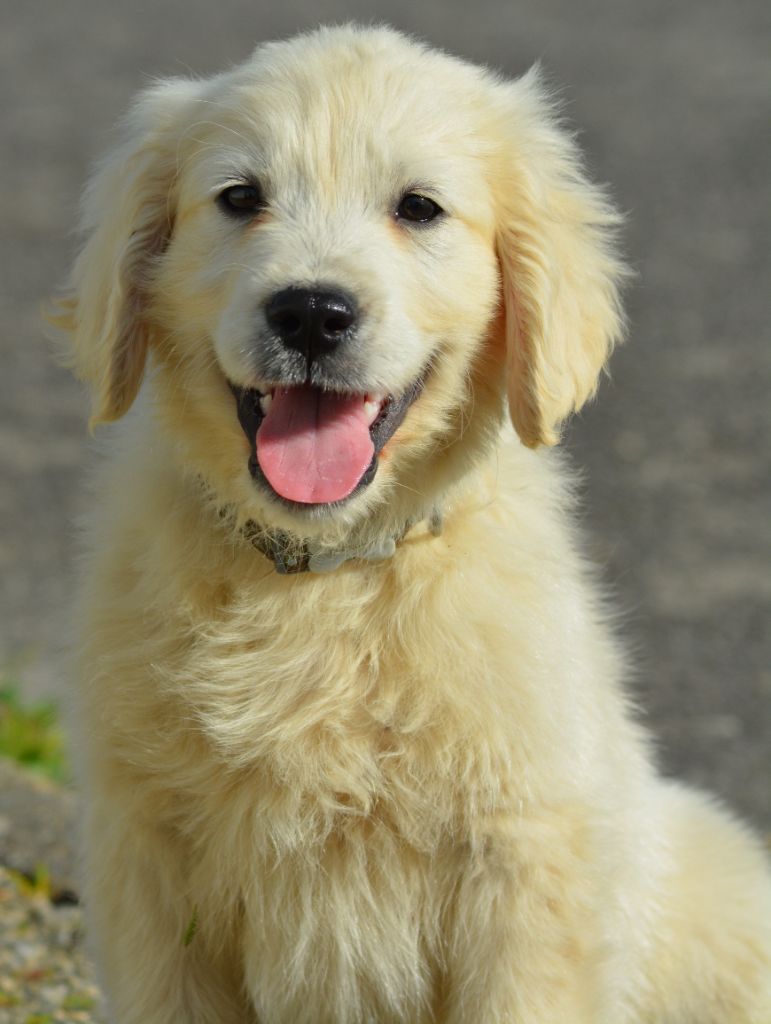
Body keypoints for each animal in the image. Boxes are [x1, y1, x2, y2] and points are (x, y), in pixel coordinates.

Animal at [55, 24, 771, 1023]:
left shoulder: (521, 872)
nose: (311, 312)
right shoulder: (150, 865)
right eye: (239, 198)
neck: (324, 577)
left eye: (419, 208)